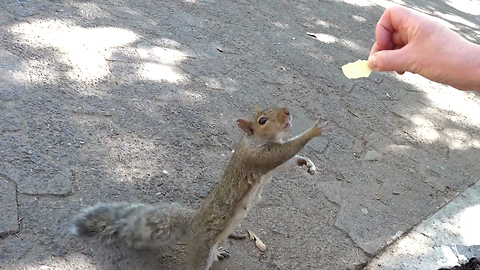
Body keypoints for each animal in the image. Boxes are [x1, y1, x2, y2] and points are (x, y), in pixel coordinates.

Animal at [70, 106, 330, 270]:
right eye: (262, 121)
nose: (287, 112)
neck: (256, 140)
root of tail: (192, 226)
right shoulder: (257, 157)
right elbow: (284, 152)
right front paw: (314, 130)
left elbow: (286, 161)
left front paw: (306, 163)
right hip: (201, 250)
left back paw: (220, 252)